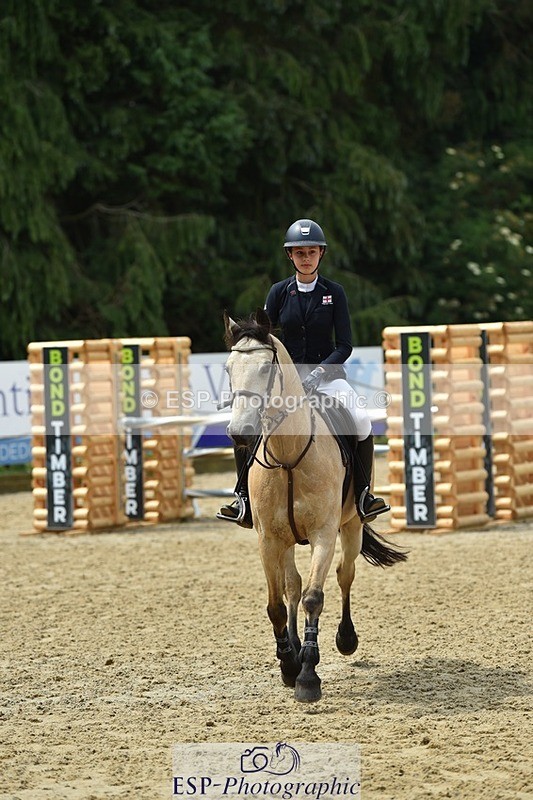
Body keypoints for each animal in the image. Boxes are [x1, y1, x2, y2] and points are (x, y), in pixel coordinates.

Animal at [223, 308, 407, 703]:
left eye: (267, 368)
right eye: (228, 368)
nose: (241, 432)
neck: (289, 457)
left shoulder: (324, 534)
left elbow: (313, 598)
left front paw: (308, 675)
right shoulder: (268, 539)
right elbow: (278, 604)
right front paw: (288, 664)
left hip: (350, 526)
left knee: (344, 574)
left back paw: (345, 639)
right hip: (290, 540)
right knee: (292, 585)